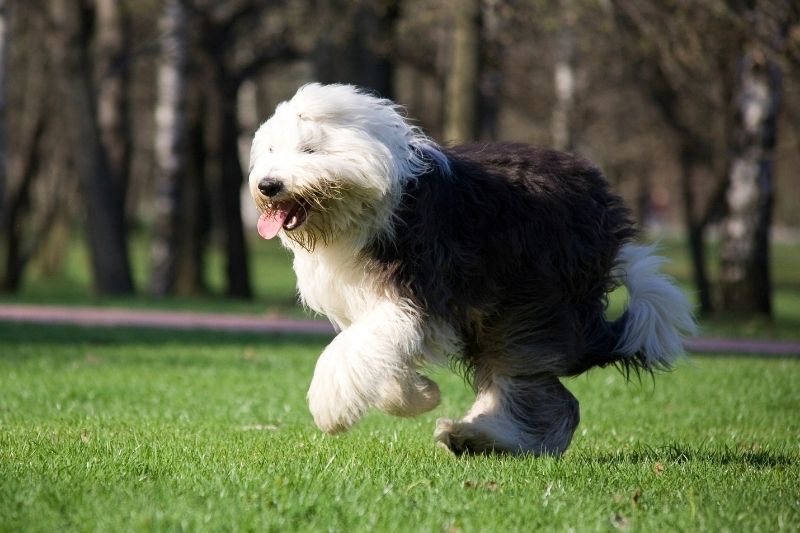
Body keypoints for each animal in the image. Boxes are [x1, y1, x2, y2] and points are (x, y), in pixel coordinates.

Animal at [248, 83, 692, 454]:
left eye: (310, 150)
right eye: (270, 151)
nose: (267, 185)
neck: (372, 204)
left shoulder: (412, 294)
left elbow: (352, 349)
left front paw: (331, 409)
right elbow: (374, 352)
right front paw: (418, 395)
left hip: (532, 300)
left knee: (540, 392)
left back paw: (478, 436)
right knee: (547, 397)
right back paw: (475, 437)